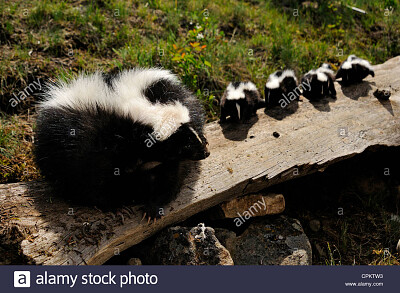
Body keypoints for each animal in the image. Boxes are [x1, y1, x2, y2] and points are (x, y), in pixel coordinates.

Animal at [35, 68, 209, 218]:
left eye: (191, 137)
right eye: (185, 145)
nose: (205, 152)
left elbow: (169, 177)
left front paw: (152, 208)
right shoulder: (96, 150)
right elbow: (96, 182)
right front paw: (116, 209)